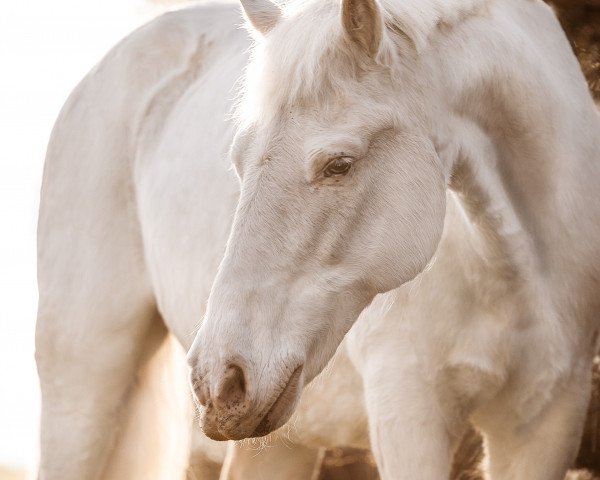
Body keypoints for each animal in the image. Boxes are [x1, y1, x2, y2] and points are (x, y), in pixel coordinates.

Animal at [36, 0, 600, 480]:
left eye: (339, 164)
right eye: (237, 161)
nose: (219, 379)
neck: (512, 266)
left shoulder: (546, 422)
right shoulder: (410, 411)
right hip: (81, 392)